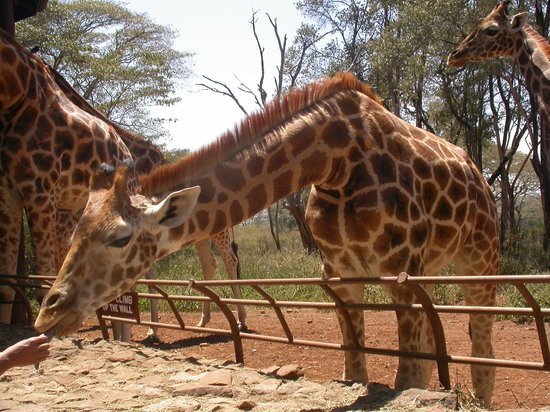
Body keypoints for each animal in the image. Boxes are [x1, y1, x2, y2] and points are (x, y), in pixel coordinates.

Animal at [0, 27, 248, 332]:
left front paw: (149, 328)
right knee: (208, 262)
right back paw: (203, 320)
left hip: (218, 227)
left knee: (230, 258)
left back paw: (240, 320)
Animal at [33, 73, 500, 406]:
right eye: (75, 231)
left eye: (118, 238)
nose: (47, 313)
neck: (336, 160)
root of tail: (478, 173)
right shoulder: (340, 273)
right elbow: (356, 369)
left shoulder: (402, 270)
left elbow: (409, 374)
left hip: (481, 257)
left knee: (483, 343)